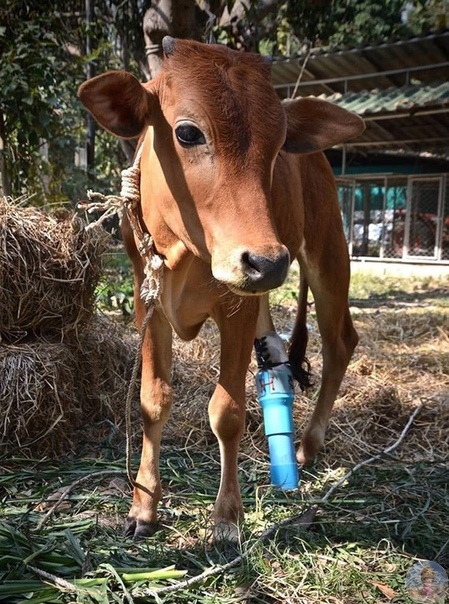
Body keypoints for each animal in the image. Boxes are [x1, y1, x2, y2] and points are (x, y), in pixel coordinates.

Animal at [78, 35, 364, 540]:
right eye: (188, 133)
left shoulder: (236, 307)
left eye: (279, 145)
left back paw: (308, 445)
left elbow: (227, 411)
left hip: (327, 252)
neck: (186, 251)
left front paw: (227, 517)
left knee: (339, 341)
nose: (267, 262)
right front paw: (143, 507)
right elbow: (153, 401)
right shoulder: (148, 300)